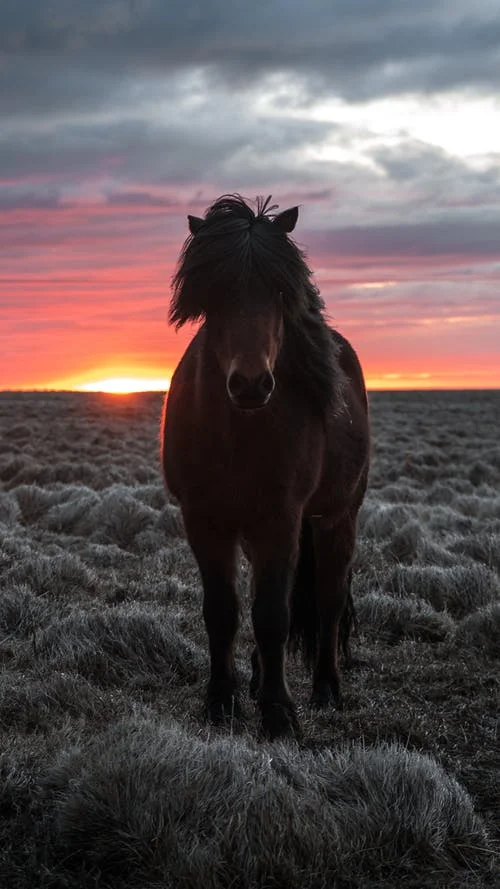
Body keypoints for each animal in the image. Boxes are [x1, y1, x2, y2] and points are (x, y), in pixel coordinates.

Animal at [161, 194, 370, 740]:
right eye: (215, 293)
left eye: (279, 291)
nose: (251, 384)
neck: (238, 433)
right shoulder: (204, 519)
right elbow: (223, 612)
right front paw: (222, 701)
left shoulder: (281, 520)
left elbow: (274, 615)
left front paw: (279, 714)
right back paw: (256, 680)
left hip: (337, 519)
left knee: (328, 599)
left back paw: (325, 690)